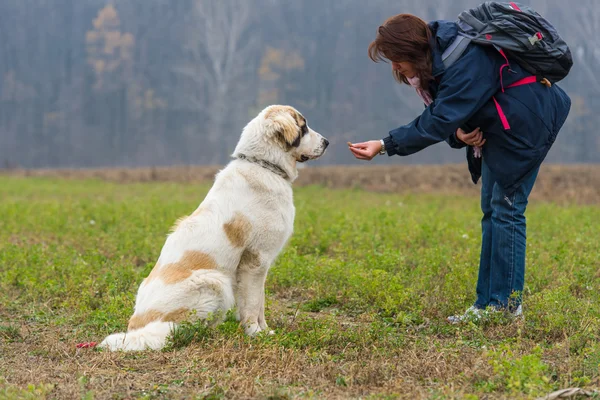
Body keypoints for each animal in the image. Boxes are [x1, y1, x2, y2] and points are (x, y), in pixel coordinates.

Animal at [100, 105, 330, 350]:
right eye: (303, 127)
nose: (327, 142)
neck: (264, 165)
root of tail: (137, 326)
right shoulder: (255, 262)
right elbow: (252, 304)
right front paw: (255, 333)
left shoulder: (259, 266)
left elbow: (259, 303)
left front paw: (265, 330)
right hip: (215, 281)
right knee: (178, 330)